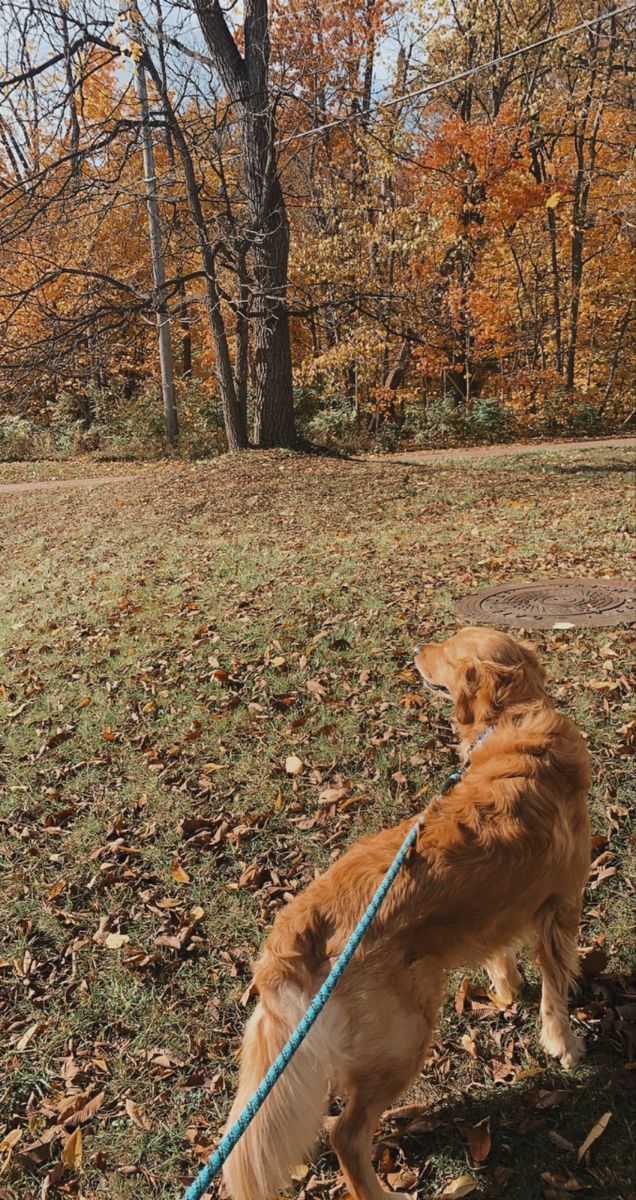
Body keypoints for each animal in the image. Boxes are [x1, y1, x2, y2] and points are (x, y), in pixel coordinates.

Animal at [223, 628, 588, 1200]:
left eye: (451, 647)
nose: (418, 649)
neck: (511, 720)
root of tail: (296, 928)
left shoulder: (504, 905)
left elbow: (501, 952)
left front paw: (507, 988)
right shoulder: (562, 903)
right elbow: (557, 987)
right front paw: (564, 1044)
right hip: (407, 1033)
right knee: (344, 1132)